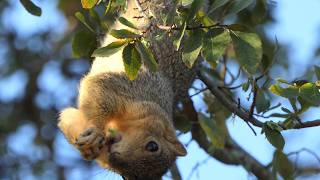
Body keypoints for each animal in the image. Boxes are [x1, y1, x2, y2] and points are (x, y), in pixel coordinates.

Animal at [58, 0, 196, 179]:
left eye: (127, 176)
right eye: (152, 146)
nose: (113, 156)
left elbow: (67, 118)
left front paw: (89, 149)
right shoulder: (129, 86)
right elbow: (99, 92)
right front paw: (95, 132)